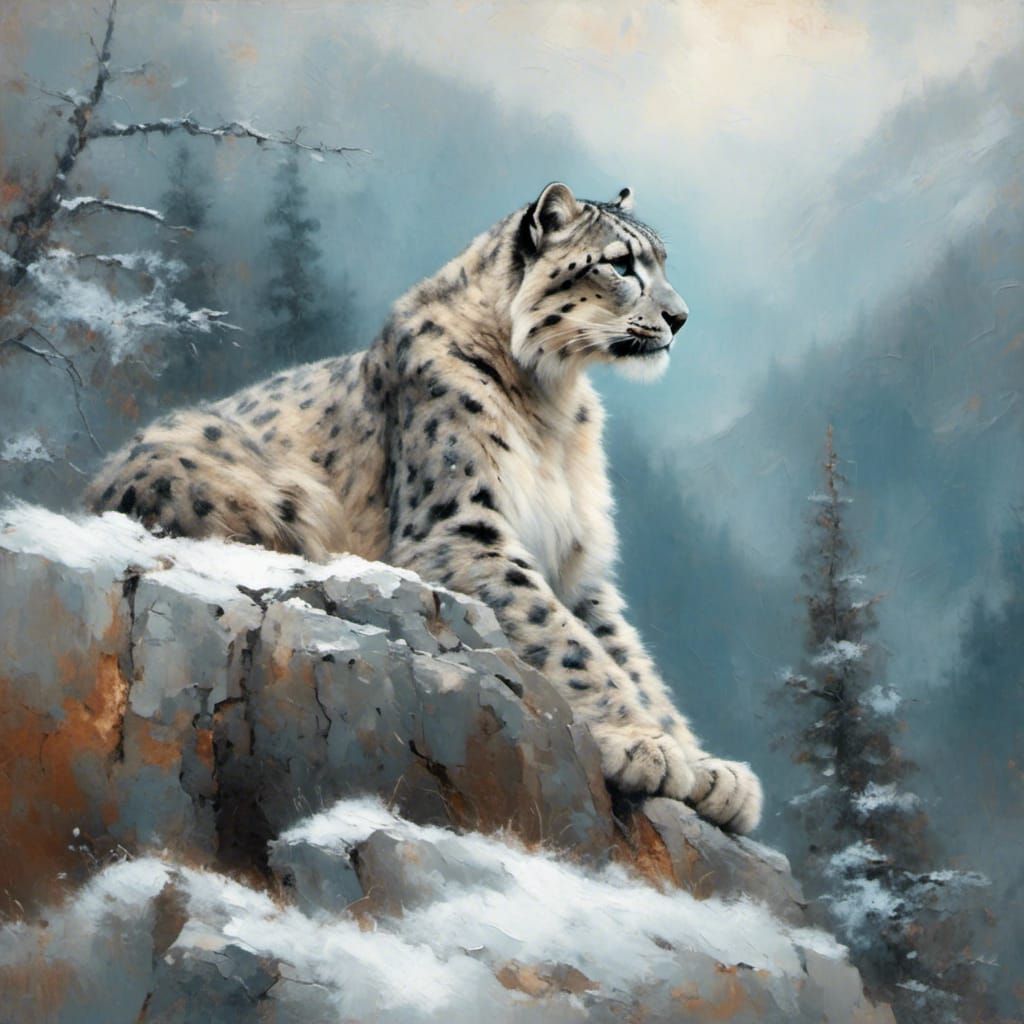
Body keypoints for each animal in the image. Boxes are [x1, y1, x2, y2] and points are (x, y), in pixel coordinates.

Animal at [87, 182, 763, 834]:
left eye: (663, 261)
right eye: (621, 264)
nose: (680, 317)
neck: (553, 403)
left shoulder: (578, 562)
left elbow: (624, 654)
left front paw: (709, 770)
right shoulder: (463, 530)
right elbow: (566, 640)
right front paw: (645, 744)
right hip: (277, 494)